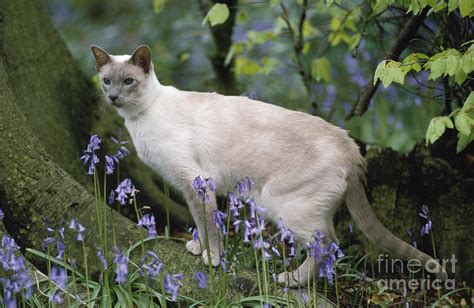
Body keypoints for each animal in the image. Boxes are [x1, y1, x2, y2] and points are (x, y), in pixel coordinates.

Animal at [90, 44, 446, 286]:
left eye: (128, 82)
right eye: (107, 81)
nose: (113, 98)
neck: (139, 118)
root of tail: (352, 147)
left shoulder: (195, 181)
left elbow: (208, 226)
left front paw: (211, 259)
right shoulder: (190, 188)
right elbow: (199, 223)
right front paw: (197, 248)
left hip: (279, 202)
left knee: (328, 244)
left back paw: (290, 280)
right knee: (330, 243)